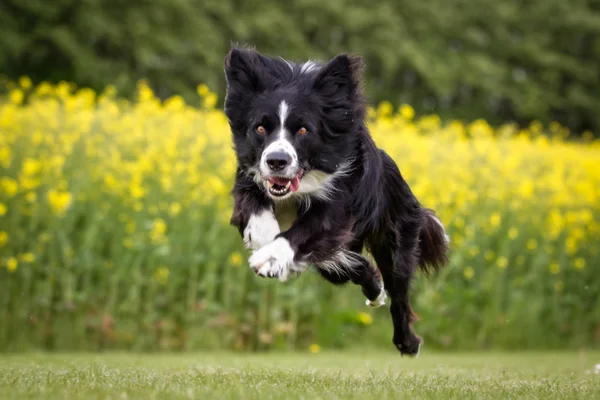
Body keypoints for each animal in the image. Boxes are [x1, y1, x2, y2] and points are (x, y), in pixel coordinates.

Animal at [223, 47, 448, 356]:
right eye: (259, 128)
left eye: (303, 130)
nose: (277, 161)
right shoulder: (251, 176)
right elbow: (253, 203)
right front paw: (263, 235)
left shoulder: (339, 206)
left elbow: (306, 230)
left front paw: (269, 258)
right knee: (352, 265)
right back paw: (375, 290)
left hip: (396, 236)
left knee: (398, 292)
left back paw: (408, 342)